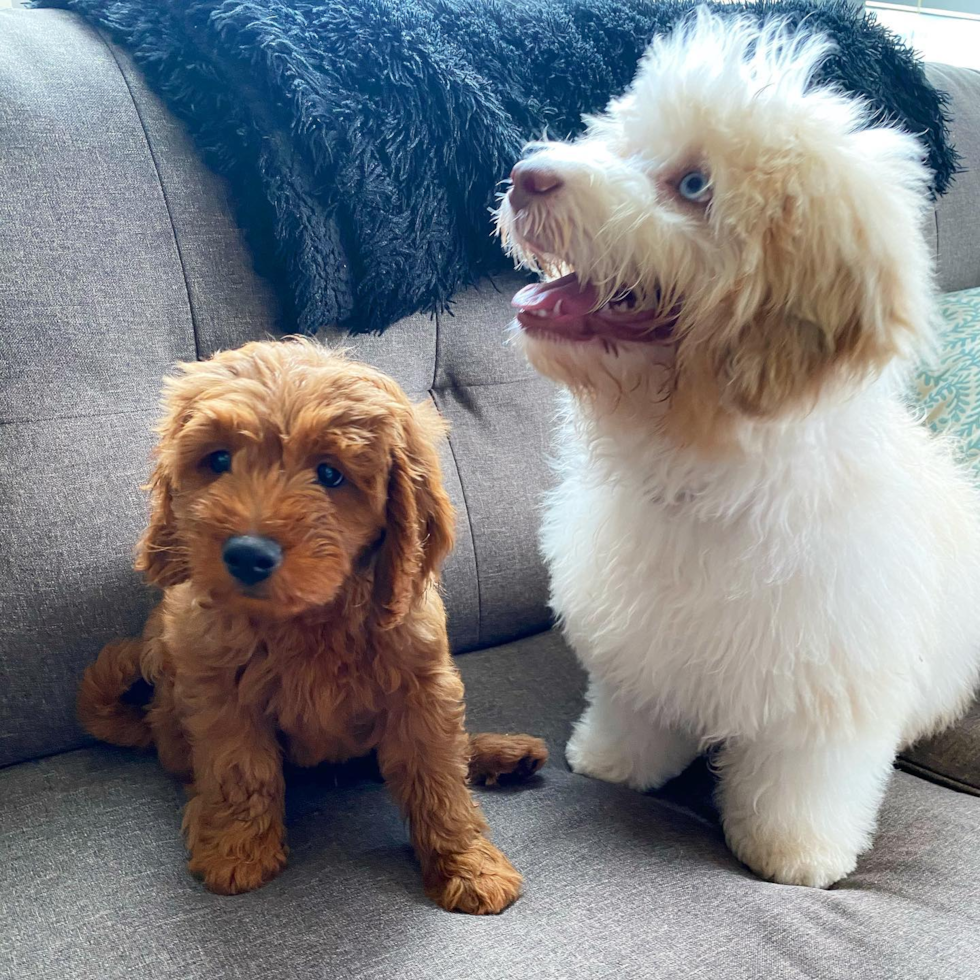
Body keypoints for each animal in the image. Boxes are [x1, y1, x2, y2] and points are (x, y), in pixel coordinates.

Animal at [78, 340, 544, 916]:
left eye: (330, 474)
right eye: (218, 460)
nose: (246, 554)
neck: (310, 621)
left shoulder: (422, 687)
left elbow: (438, 780)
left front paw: (469, 866)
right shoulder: (220, 694)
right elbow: (240, 771)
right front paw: (238, 852)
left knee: (444, 751)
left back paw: (502, 752)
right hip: (173, 708)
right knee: (192, 769)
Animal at [498, 9, 980, 888]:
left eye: (695, 186)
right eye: (622, 139)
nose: (525, 175)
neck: (703, 458)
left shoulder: (828, 685)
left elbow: (803, 777)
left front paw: (797, 853)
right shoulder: (635, 628)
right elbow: (633, 701)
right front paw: (613, 759)